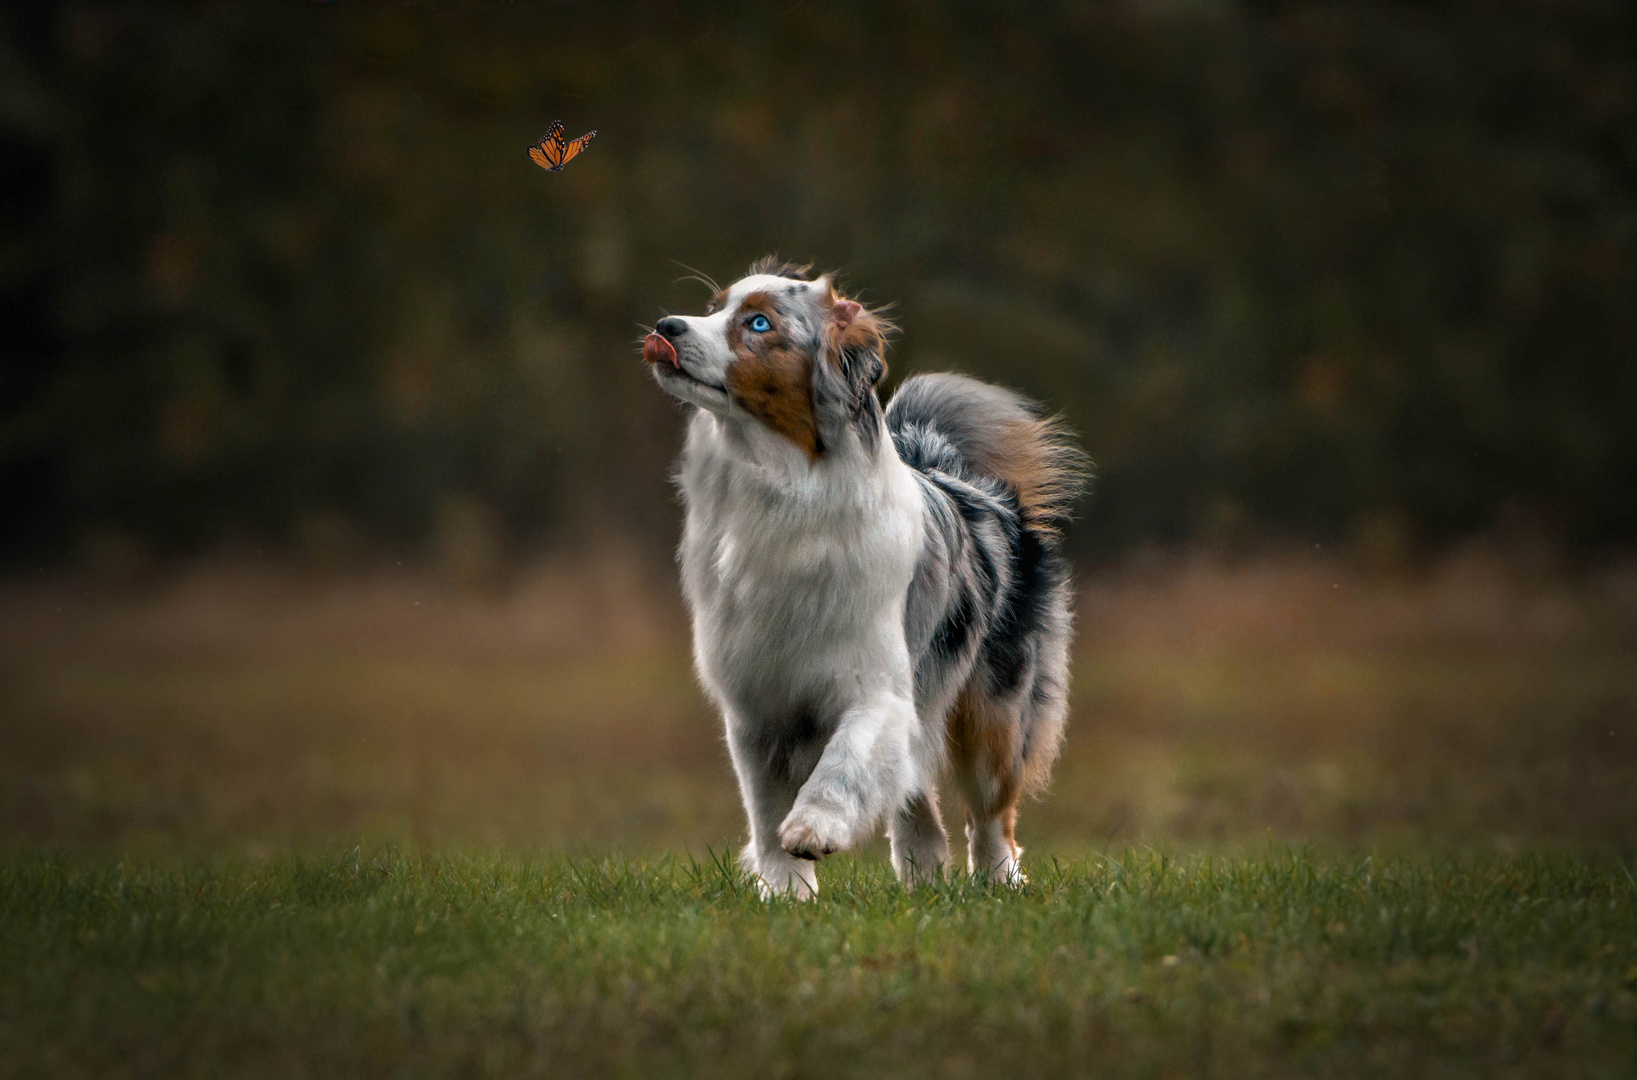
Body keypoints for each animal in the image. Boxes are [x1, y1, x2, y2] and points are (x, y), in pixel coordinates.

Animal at [641, 256, 1086, 896]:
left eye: (758, 323)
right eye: (713, 307)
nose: (666, 326)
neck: (781, 484)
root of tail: (968, 482)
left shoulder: (876, 683)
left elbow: (845, 761)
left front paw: (815, 827)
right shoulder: (756, 703)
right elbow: (765, 809)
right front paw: (785, 893)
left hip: (995, 711)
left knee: (991, 813)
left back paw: (1000, 881)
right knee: (918, 796)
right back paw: (923, 873)